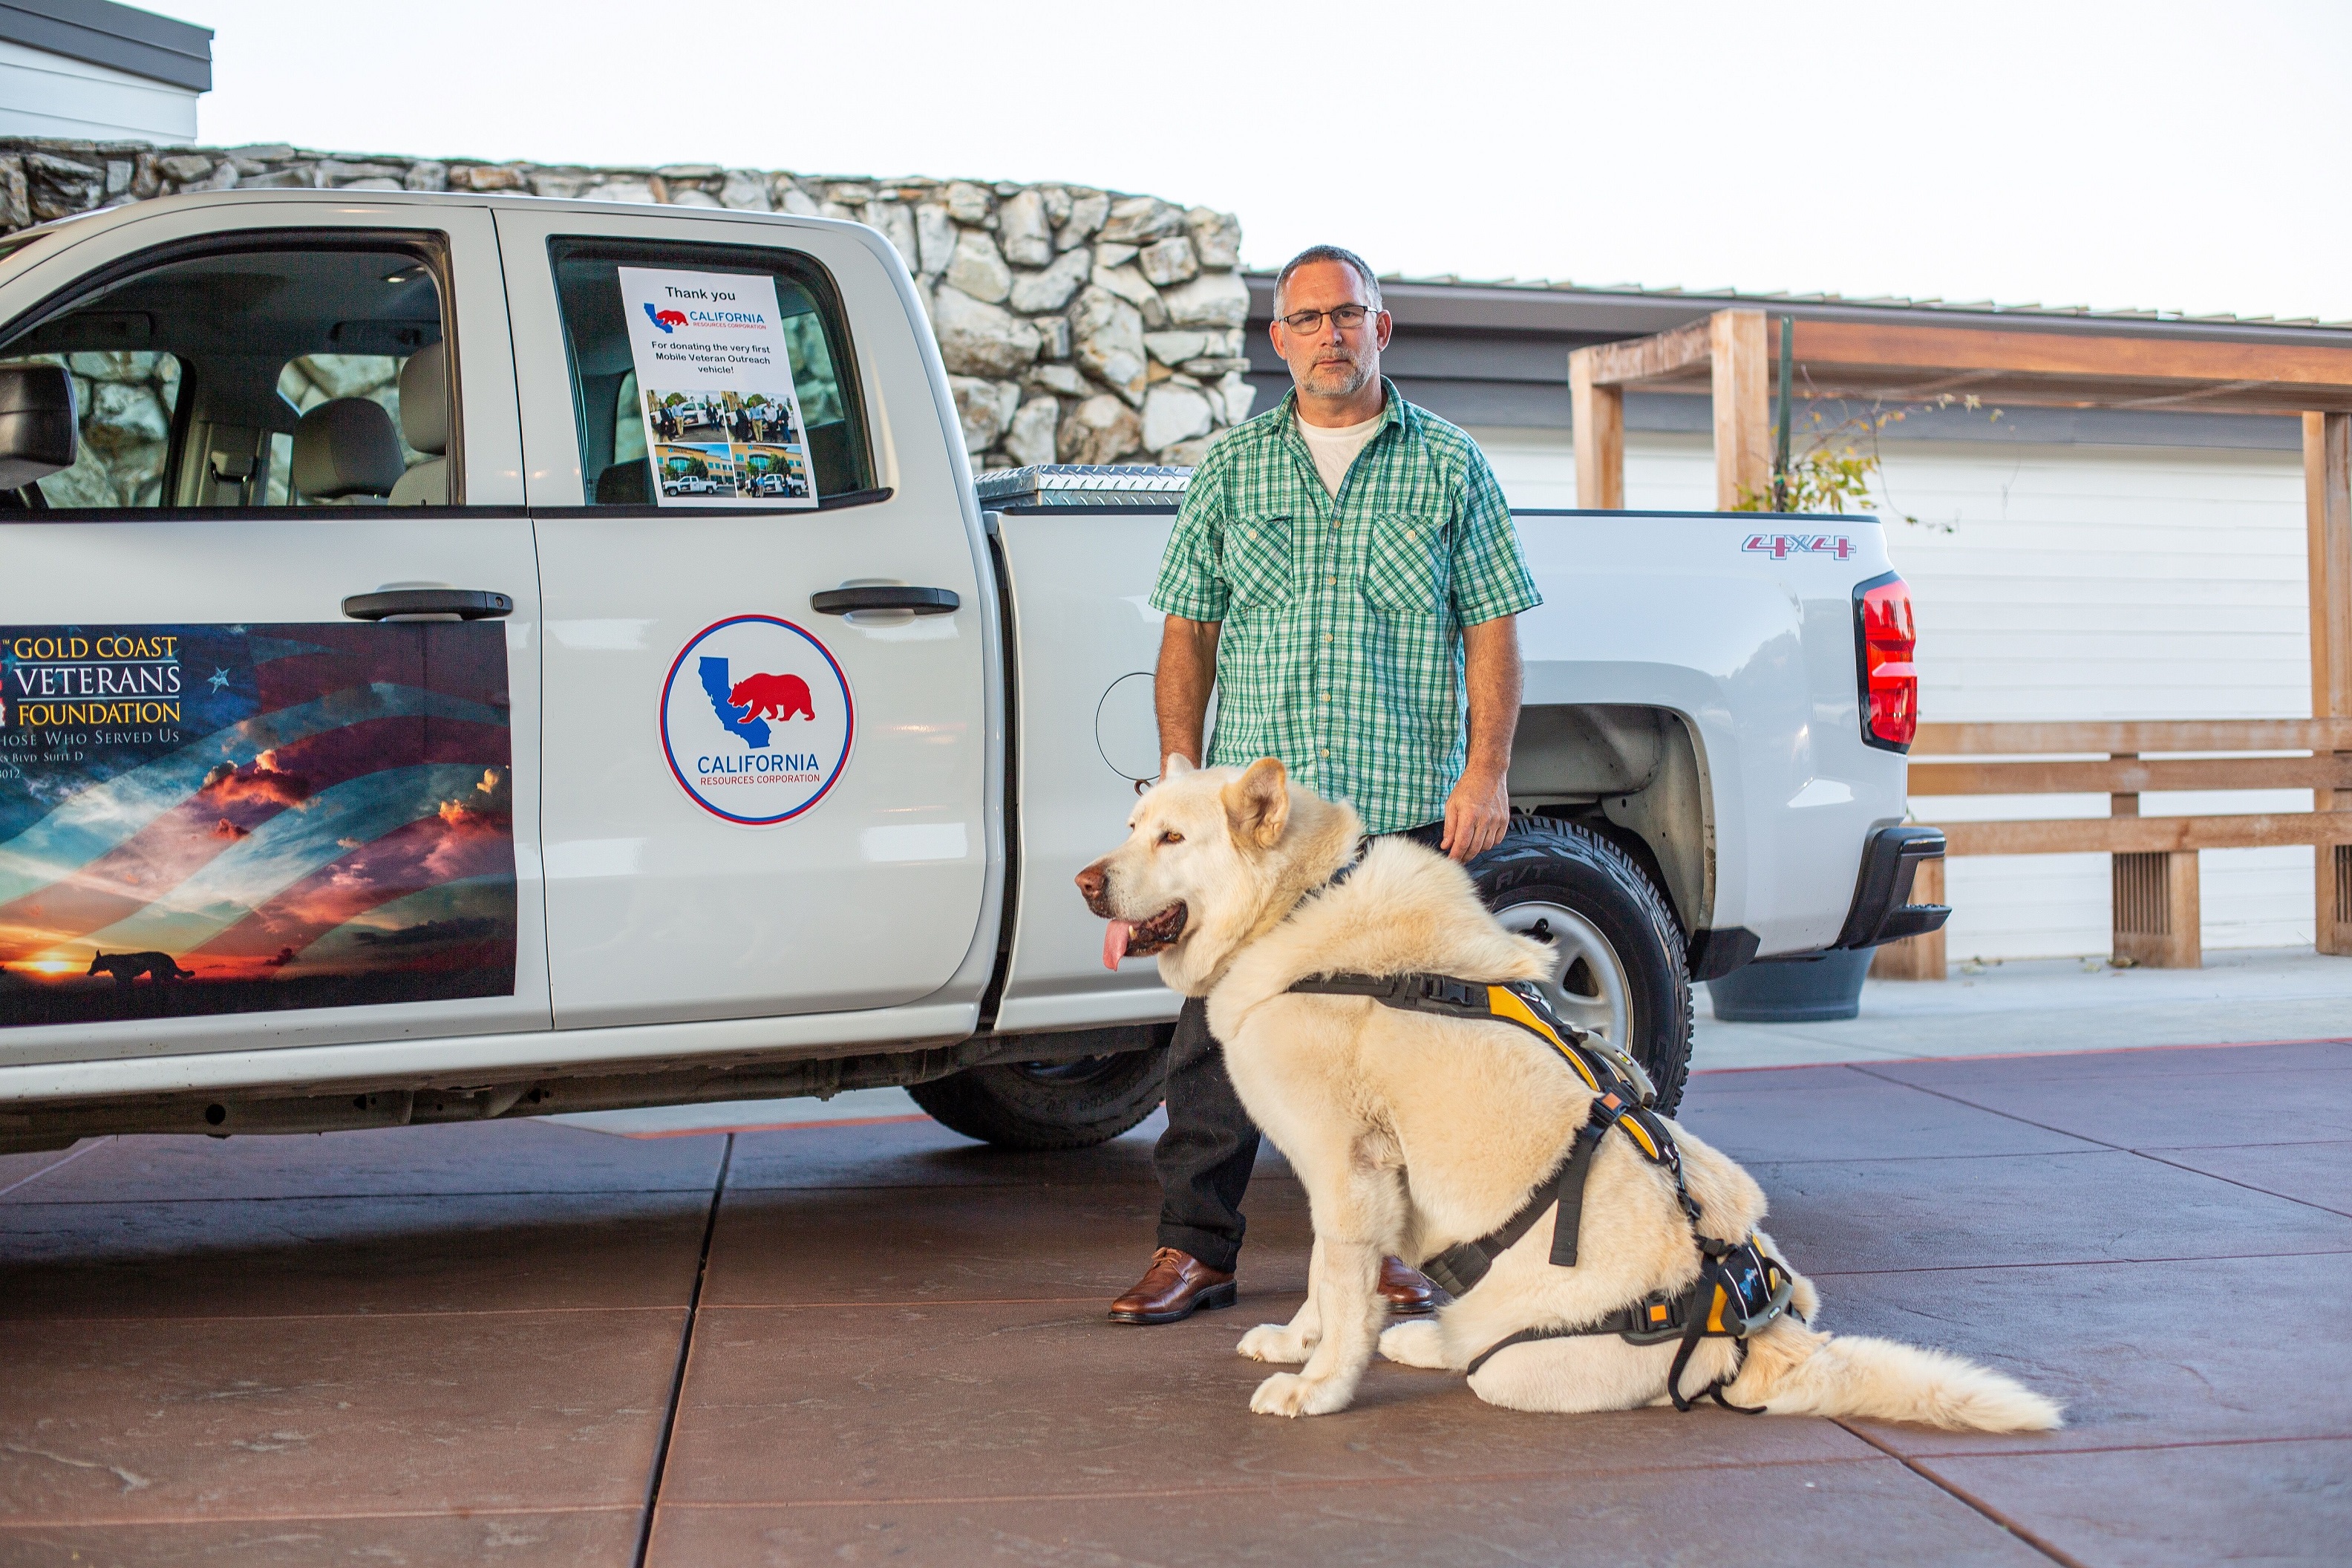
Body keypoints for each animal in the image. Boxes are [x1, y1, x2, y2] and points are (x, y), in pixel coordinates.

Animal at [1082, 761, 2060, 1438]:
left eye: (1172, 840)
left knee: (1511, 1364)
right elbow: (1329, 1289)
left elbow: (1343, 1291)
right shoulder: (1347, 1184)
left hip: (1527, 1365)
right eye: (1130, 826)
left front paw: (1318, 1385)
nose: (1087, 883)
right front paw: (1300, 1343)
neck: (1298, 906)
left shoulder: (1348, 1174)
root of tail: (1770, 1341)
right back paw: (1423, 1333)